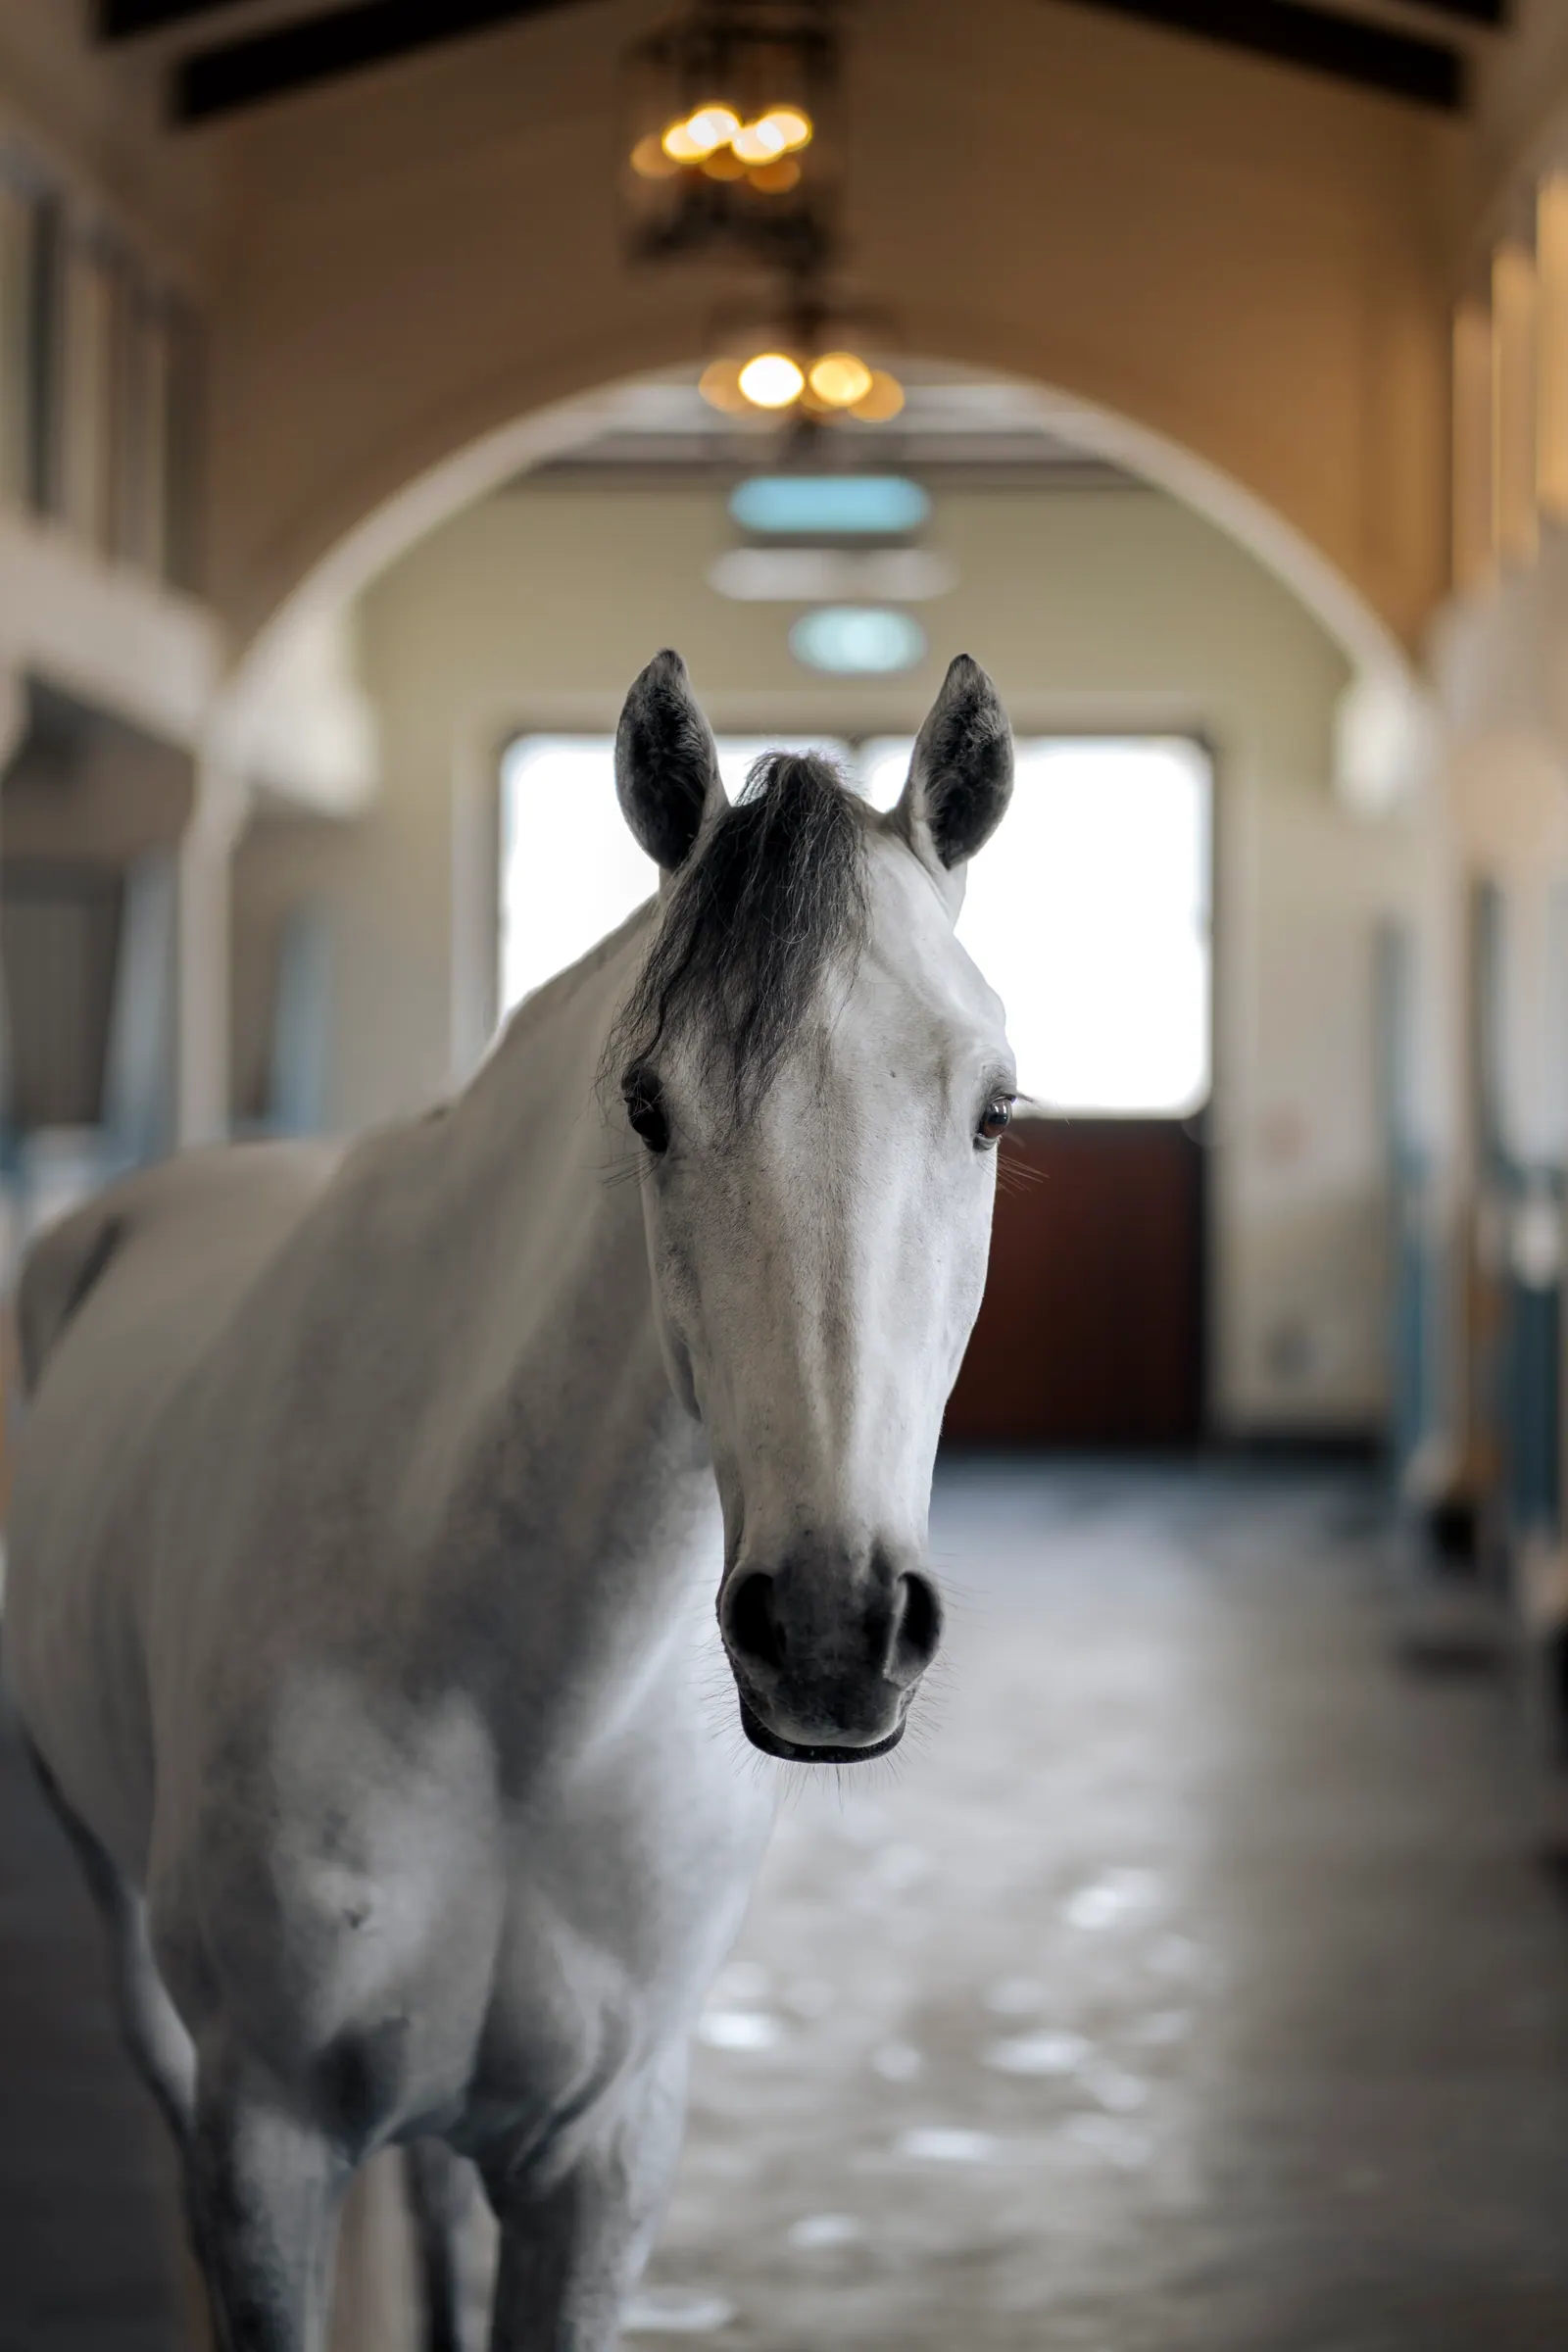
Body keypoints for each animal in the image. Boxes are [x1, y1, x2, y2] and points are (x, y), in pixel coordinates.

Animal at [3, 646, 1016, 2352]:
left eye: (995, 1111)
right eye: (647, 1107)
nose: (829, 1628)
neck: (507, 1689)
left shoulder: (602, 2160)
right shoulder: (268, 2141)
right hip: (119, 1913)